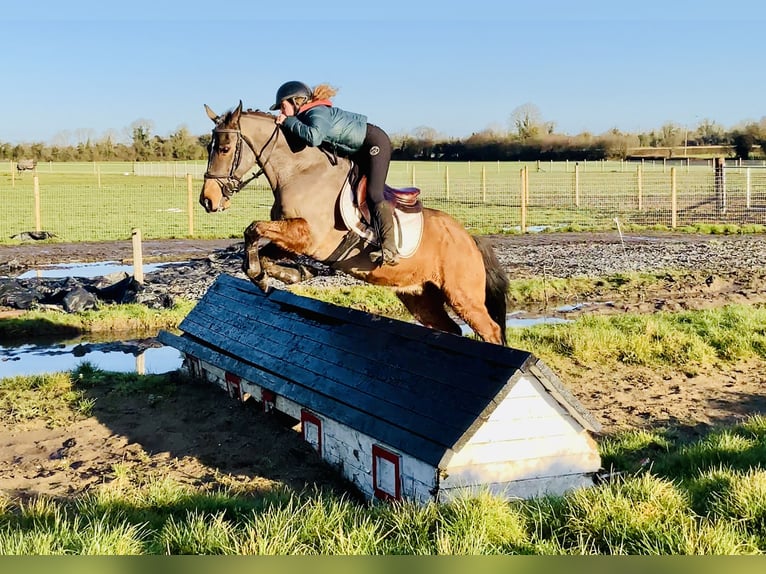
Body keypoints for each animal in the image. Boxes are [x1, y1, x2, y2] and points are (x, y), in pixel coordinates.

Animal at [199, 101, 509, 346]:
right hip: (421, 296)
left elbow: (253, 228)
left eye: (225, 148)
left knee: (491, 330)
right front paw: (287, 274)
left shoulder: (308, 235)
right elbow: (263, 248)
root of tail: (469, 238)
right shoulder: (290, 239)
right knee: (451, 328)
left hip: (462, 295)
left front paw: (265, 273)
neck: (298, 172)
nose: (208, 201)